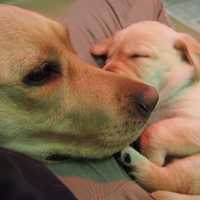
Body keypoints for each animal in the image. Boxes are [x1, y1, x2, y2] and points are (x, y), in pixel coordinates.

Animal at [91, 21, 200, 199]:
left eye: (139, 55)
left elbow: (156, 130)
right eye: (108, 57)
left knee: (168, 181)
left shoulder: (193, 122)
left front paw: (153, 155)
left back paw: (133, 161)